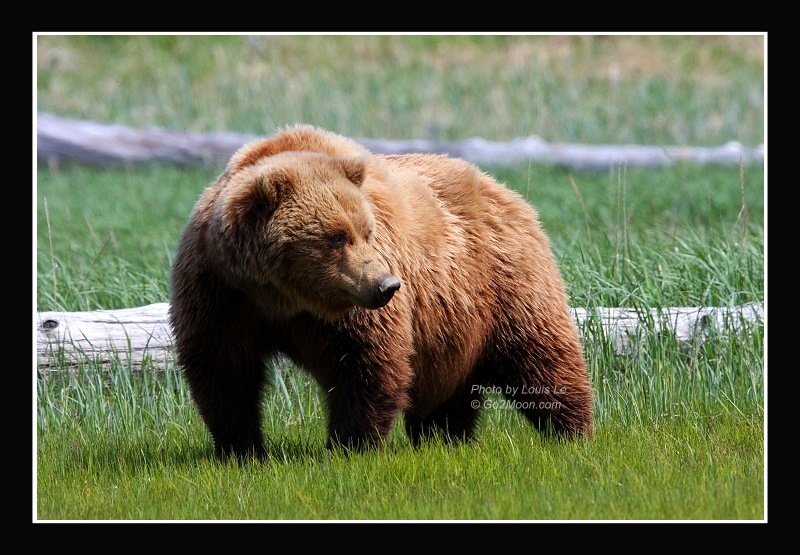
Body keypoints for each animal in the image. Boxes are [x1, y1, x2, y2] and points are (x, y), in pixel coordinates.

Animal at [168, 124, 593, 460]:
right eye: (336, 236)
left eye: (366, 231)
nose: (387, 285)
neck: (285, 297)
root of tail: (506, 191)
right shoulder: (222, 293)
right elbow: (223, 368)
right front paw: (241, 449)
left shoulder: (353, 311)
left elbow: (366, 363)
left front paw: (349, 446)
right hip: (452, 327)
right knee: (449, 392)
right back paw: (445, 439)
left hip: (504, 281)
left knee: (541, 355)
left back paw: (572, 433)